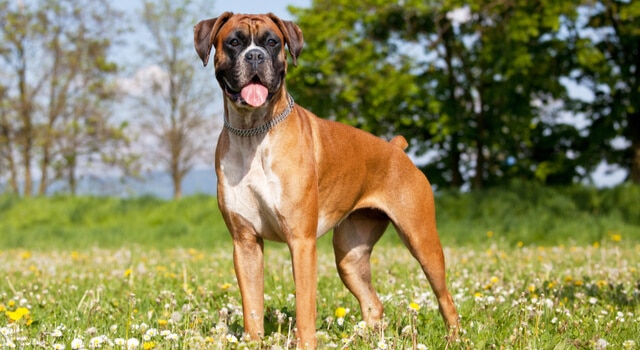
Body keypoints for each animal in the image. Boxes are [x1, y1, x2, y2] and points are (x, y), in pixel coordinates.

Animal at [192, 11, 458, 348]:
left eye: (272, 42)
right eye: (234, 42)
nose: (255, 56)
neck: (253, 132)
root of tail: (395, 149)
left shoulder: (301, 243)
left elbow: (305, 308)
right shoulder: (245, 243)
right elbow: (251, 307)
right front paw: (253, 341)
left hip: (422, 241)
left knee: (445, 299)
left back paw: (453, 338)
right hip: (349, 257)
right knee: (373, 303)